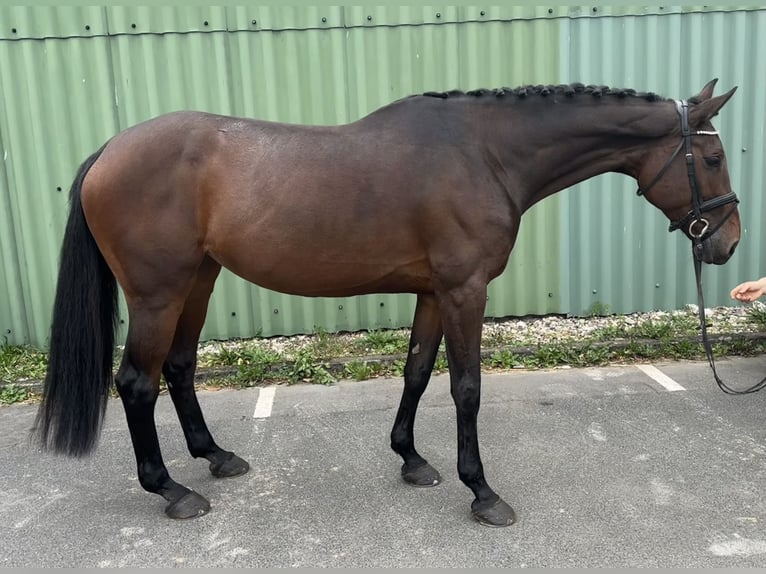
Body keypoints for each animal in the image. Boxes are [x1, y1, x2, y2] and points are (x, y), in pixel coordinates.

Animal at [36, 80, 744, 528]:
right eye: (711, 155)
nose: (728, 242)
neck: (485, 155)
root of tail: (110, 151)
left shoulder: (433, 291)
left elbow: (418, 372)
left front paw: (412, 459)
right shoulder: (464, 289)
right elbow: (466, 388)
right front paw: (481, 491)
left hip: (198, 281)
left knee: (179, 369)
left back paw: (216, 457)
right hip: (158, 293)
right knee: (137, 382)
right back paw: (171, 490)